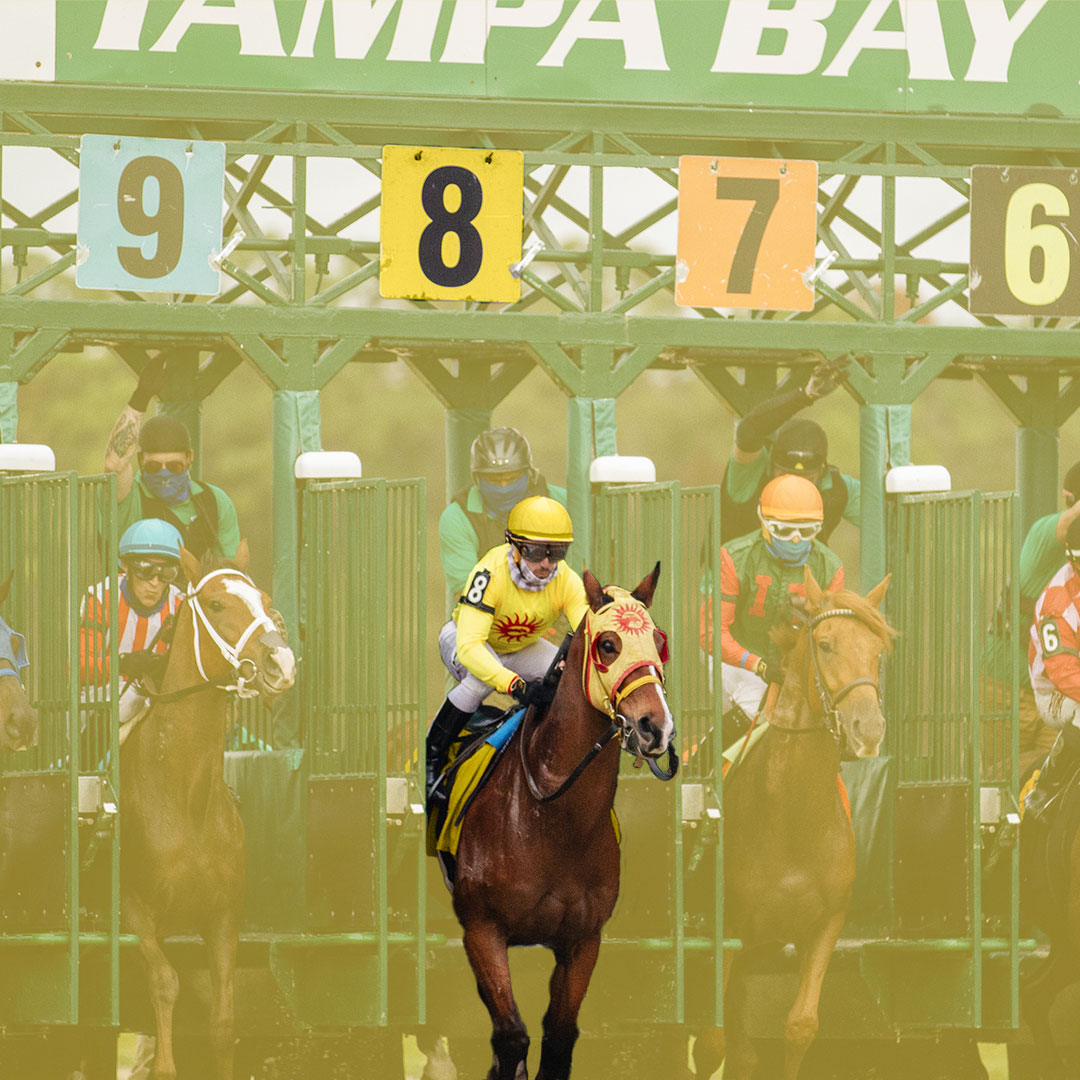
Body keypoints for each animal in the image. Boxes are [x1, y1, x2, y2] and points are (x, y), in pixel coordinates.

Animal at [121, 548, 295, 1080]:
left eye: (266, 601)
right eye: (217, 605)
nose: (282, 662)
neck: (185, 798)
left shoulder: (223, 916)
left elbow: (223, 1021)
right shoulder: (135, 911)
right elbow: (164, 983)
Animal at [449, 565, 673, 1080]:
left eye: (659, 641)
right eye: (608, 644)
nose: (656, 727)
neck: (552, 818)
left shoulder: (583, 938)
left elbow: (559, 1036)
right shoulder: (482, 929)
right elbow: (511, 1035)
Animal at [691, 565, 894, 1080]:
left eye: (878, 651)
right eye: (824, 644)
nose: (868, 728)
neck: (791, 820)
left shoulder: (825, 925)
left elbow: (800, 1026)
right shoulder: (725, 930)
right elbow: (710, 1041)